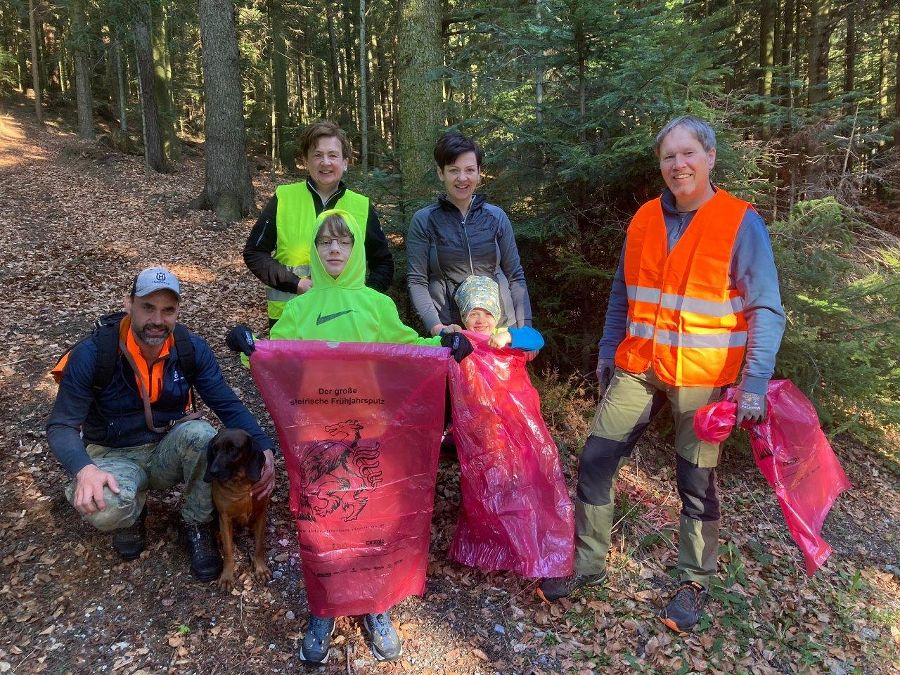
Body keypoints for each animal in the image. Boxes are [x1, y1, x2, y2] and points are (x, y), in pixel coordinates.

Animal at [204, 428, 270, 592]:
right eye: (215, 449)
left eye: (233, 449)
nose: (212, 471)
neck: (241, 485)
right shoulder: (224, 518)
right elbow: (228, 552)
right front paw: (227, 577)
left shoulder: (261, 514)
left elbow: (259, 545)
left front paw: (260, 568)